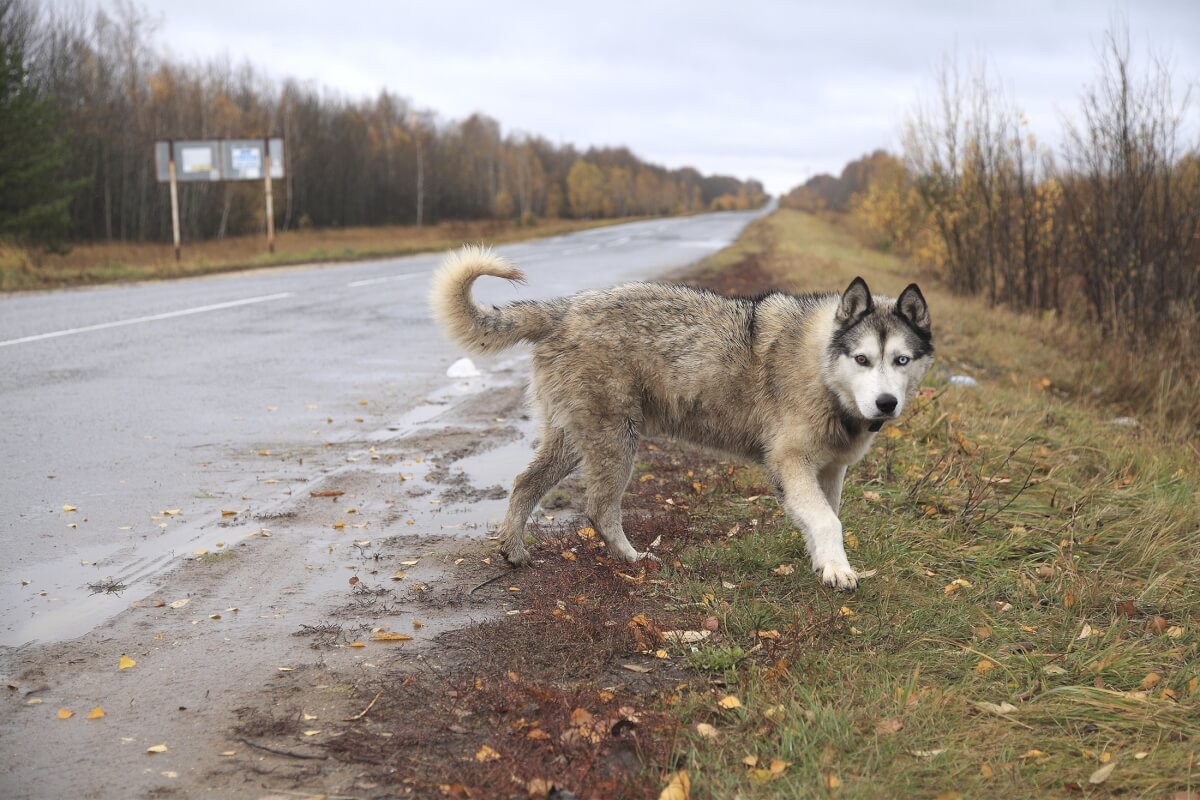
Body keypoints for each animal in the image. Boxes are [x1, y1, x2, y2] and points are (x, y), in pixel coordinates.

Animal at [427, 247, 931, 592]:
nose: (886, 403)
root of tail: (564, 309)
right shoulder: (790, 463)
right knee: (599, 509)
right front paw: (838, 570)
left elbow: (826, 516)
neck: (822, 367)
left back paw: (513, 550)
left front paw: (826, 562)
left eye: (901, 360)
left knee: (524, 484)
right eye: (862, 359)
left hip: (572, 440)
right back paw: (631, 559)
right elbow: (827, 521)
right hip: (616, 442)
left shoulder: (830, 470)